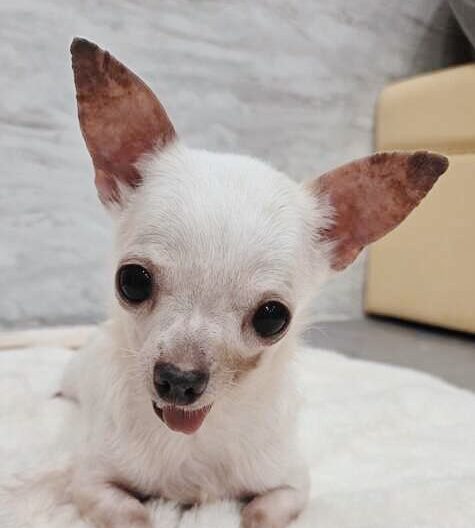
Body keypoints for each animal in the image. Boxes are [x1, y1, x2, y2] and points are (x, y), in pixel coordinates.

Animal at [62, 37, 448, 528]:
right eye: (131, 282)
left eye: (272, 319)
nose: (178, 380)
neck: (195, 437)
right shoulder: (90, 483)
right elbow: (134, 515)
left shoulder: (292, 486)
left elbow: (262, 513)